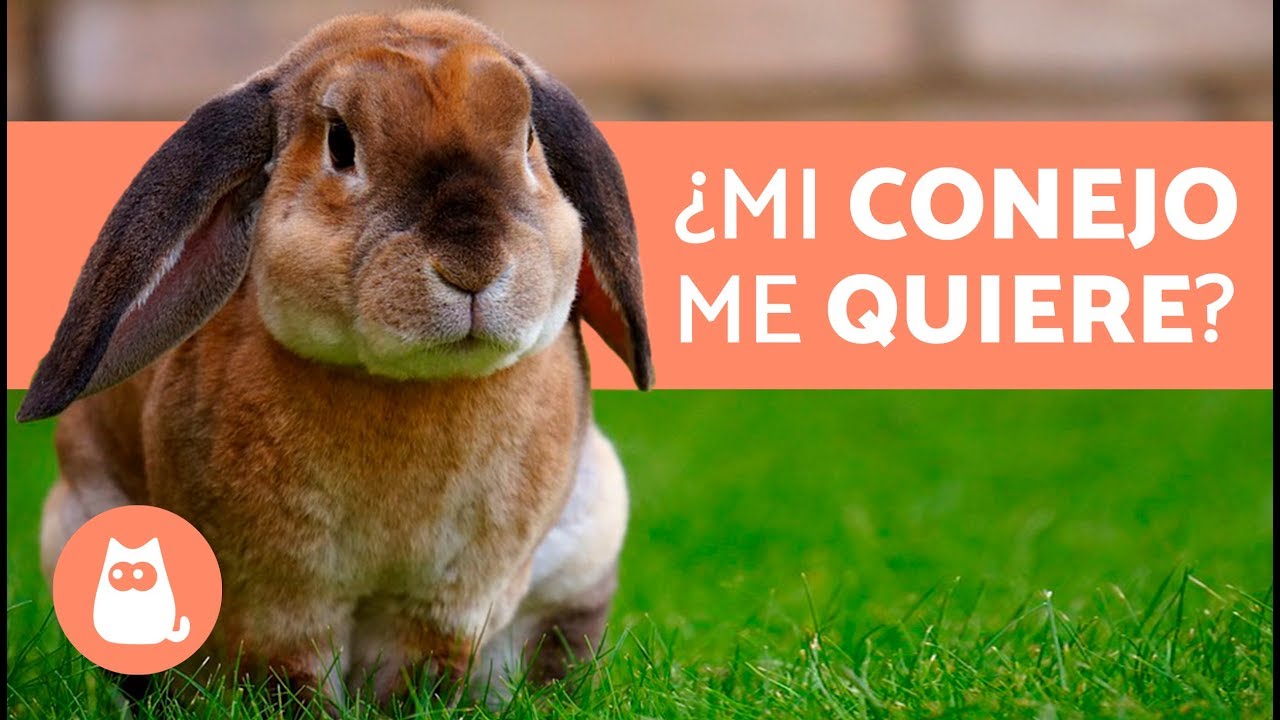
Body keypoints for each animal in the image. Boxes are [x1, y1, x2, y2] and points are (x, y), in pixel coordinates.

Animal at [18, 9, 651, 708]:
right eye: (341, 145)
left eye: (529, 137)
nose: (472, 265)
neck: (408, 386)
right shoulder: (279, 600)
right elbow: (291, 675)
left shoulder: (447, 603)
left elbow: (419, 672)